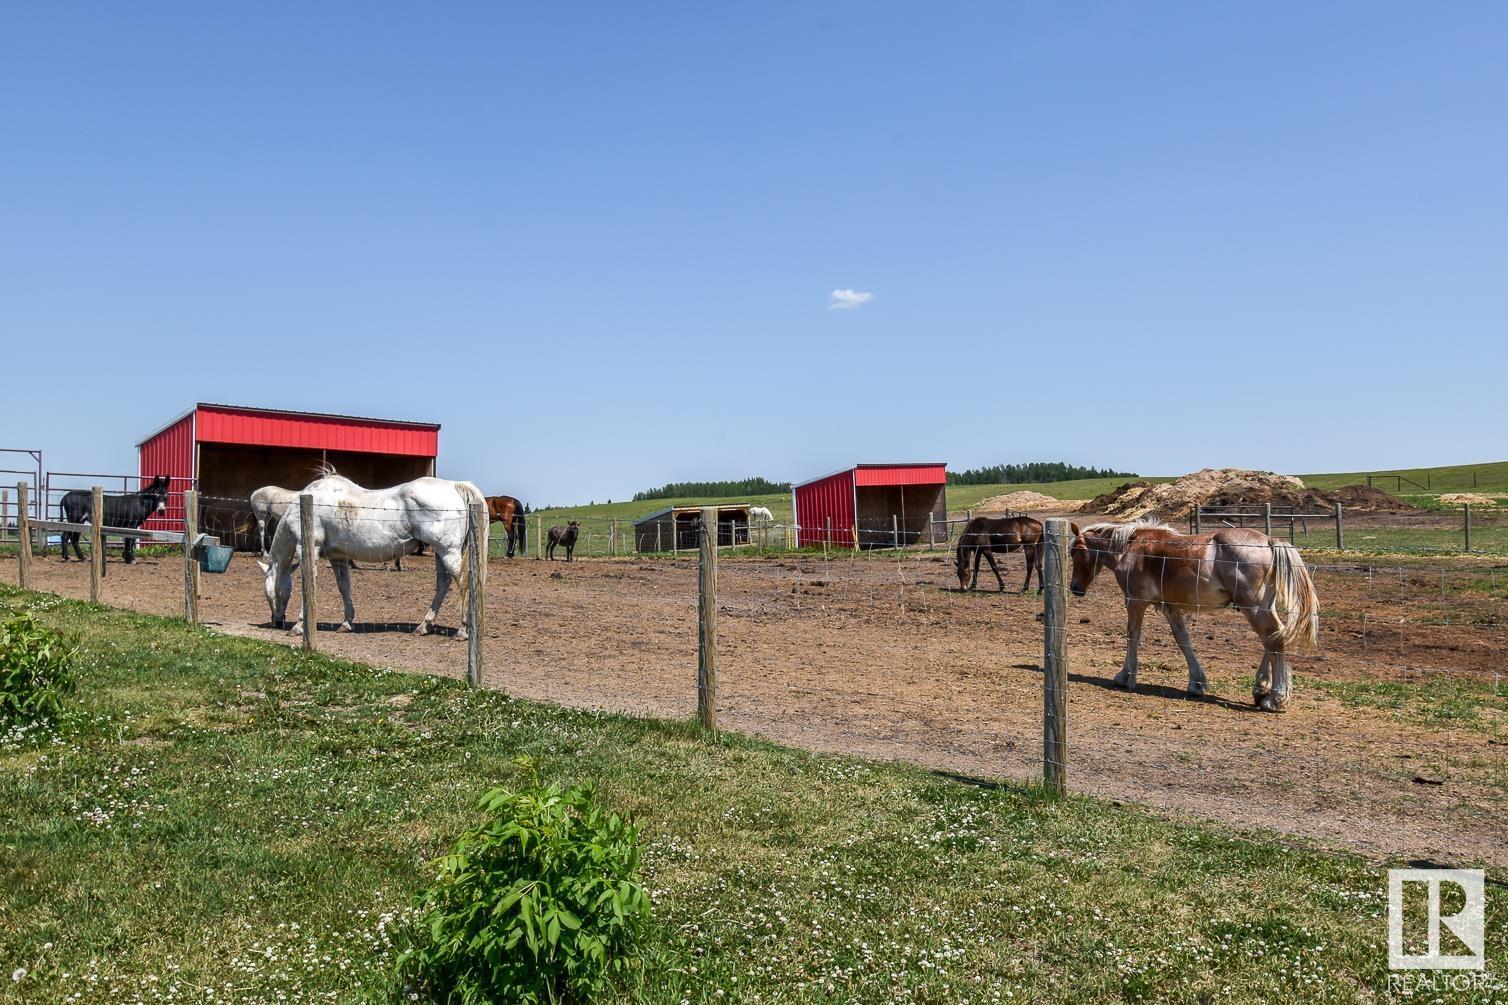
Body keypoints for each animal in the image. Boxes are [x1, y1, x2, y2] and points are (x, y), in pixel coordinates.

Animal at [259, 470, 488, 642]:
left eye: (269, 594)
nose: (276, 622)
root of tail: (455, 486)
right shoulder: (338, 557)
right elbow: (344, 587)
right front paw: (346, 623)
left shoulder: (309, 550)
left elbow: (309, 587)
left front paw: (299, 626)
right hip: (441, 554)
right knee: (443, 584)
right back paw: (424, 626)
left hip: (447, 552)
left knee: (463, 583)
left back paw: (463, 630)